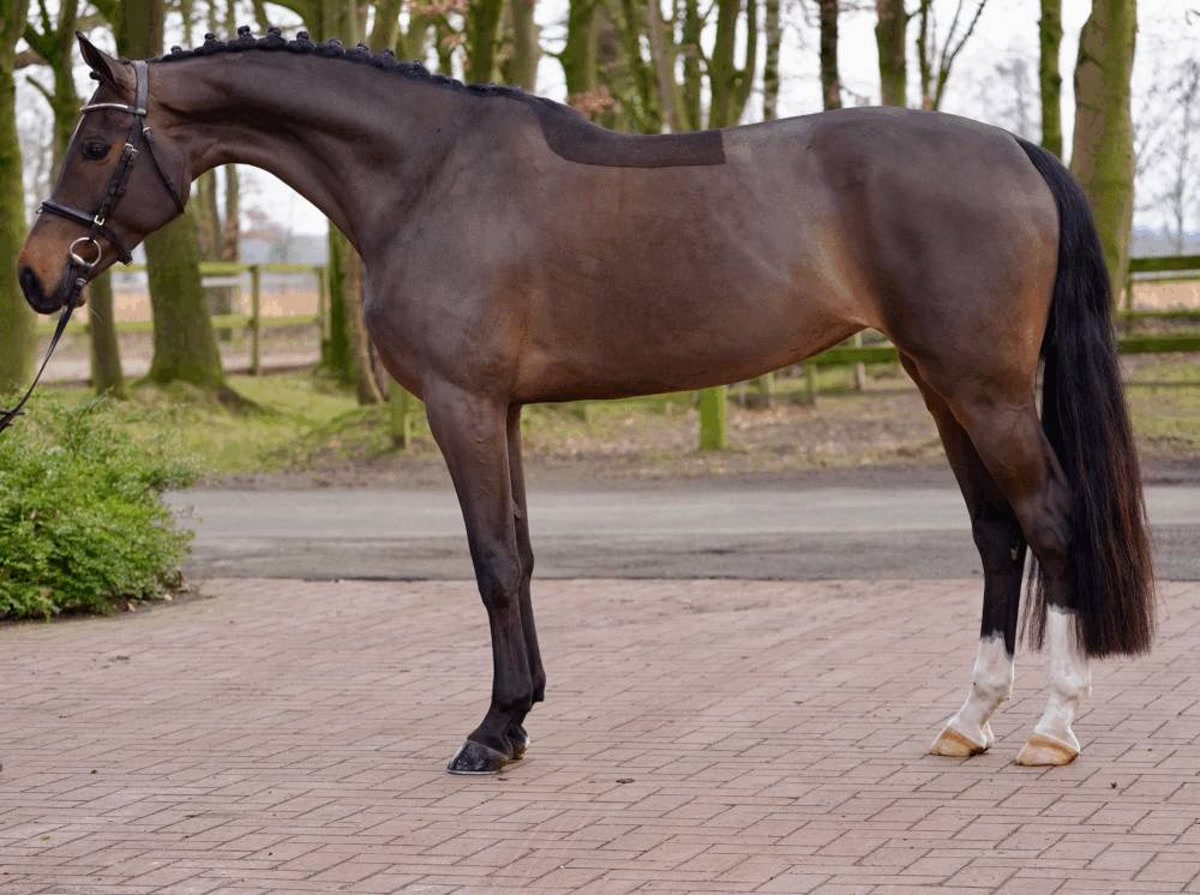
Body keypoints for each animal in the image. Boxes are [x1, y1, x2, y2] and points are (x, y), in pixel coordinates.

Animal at [18, 30, 1154, 775]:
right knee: (998, 535)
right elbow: (519, 556)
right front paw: (517, 718)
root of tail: (1015, 150)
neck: (429, 175)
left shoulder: (463, 405)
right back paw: (969, 719)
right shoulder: (504, 410)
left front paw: (488, 733)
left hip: (985, 388)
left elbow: (490, 563)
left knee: (1051, 524)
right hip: (939, 381)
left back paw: (1052, 729)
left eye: (93, 145)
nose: (36, 275)